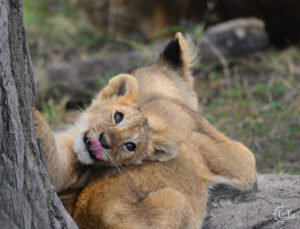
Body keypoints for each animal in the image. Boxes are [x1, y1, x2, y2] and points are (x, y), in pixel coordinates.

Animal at [34, 33, 255, 228]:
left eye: (130, 146)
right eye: (117, 116)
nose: (104, 141)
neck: (158, 96)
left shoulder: (240, 165)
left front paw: (36, 118)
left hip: (176, 198)